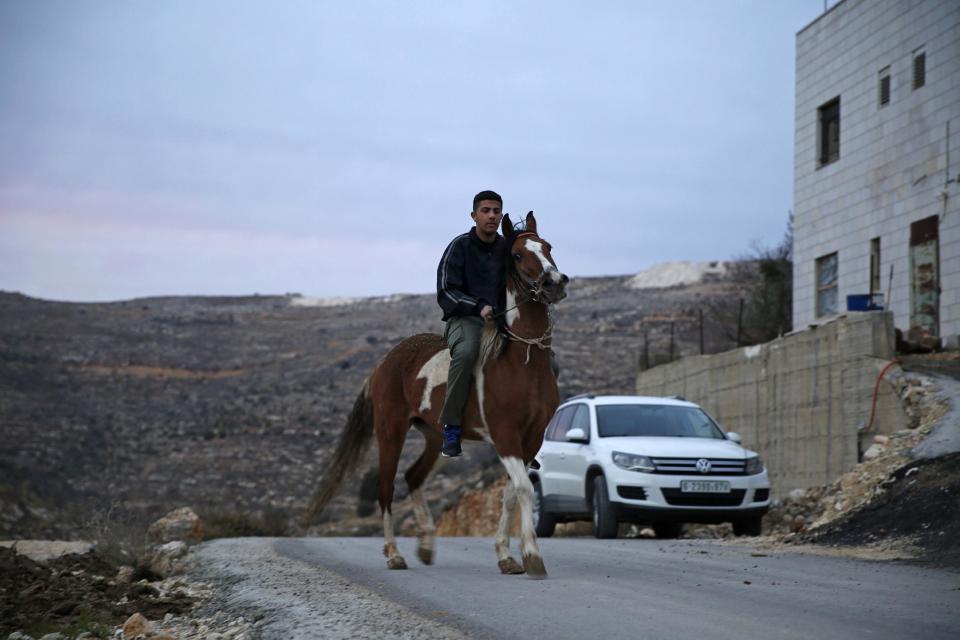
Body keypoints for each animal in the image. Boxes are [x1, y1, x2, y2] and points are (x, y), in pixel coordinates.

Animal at [304, 212, 568, 576]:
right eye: (516, 254)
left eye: (548, 247)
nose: (554, 282)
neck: (521, 360)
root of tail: (385, 362)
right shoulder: (504, 435)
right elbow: (524, 489)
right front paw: (531, 554)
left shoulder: (531, 438)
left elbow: (511, 493)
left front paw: (506, 556)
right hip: (391, 431)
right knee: (386, 488)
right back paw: (394, 554)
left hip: (435, 435)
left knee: (413, 476)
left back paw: (427, 544)